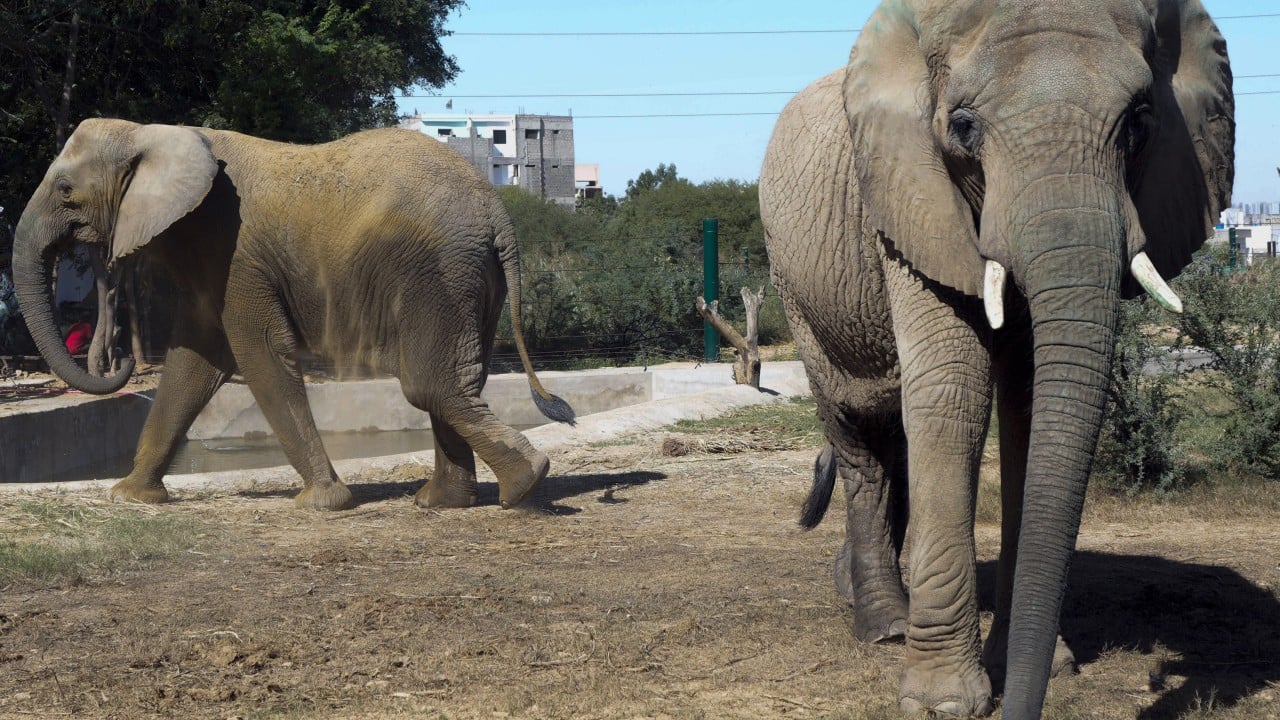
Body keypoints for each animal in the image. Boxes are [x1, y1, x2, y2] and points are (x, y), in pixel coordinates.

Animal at [14, 119, 575, 511]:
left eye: (65, 191)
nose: (120, 360)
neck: (151, 130)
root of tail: (498, 214)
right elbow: (194, 362)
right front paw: (130, 497)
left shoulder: (237, 253)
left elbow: (258, 352)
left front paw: (322, 503)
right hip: (470, 278)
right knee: (453, 382)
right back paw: (445, 502)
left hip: (439, 271)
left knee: (429, 384)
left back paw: (524, 484)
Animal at [759, 0, 1232, 717]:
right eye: (962, 126)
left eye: (1139, 123)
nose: (1024, 705)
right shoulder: (910, 202)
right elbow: (954, 390)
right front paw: (944, 703)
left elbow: (1030, 401)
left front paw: (1042, 666)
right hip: (796, 288)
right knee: (859, 435)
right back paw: (884, 624)